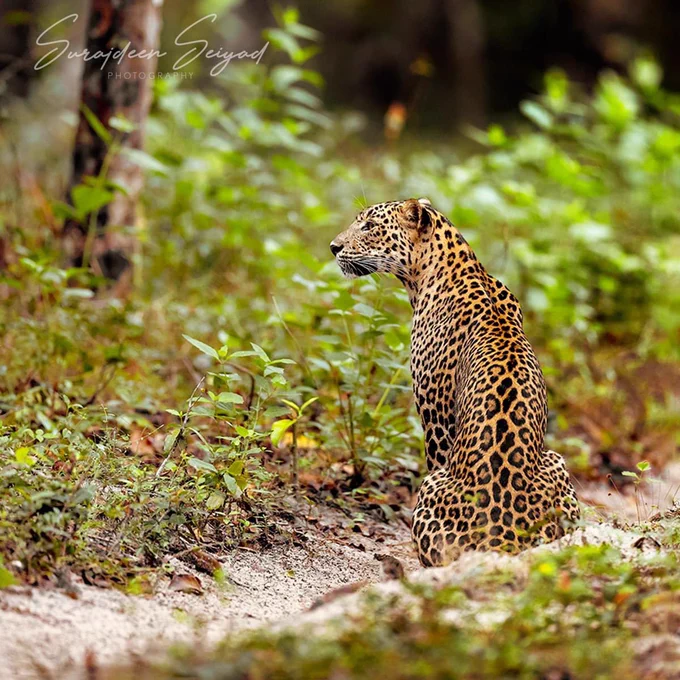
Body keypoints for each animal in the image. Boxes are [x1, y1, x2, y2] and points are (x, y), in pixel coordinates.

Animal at [330, 197, 580, 567]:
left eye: (369, 226)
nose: (333, 247)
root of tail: (501, 539)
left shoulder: (435, 418)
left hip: (431, 485)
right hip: (557, 463)